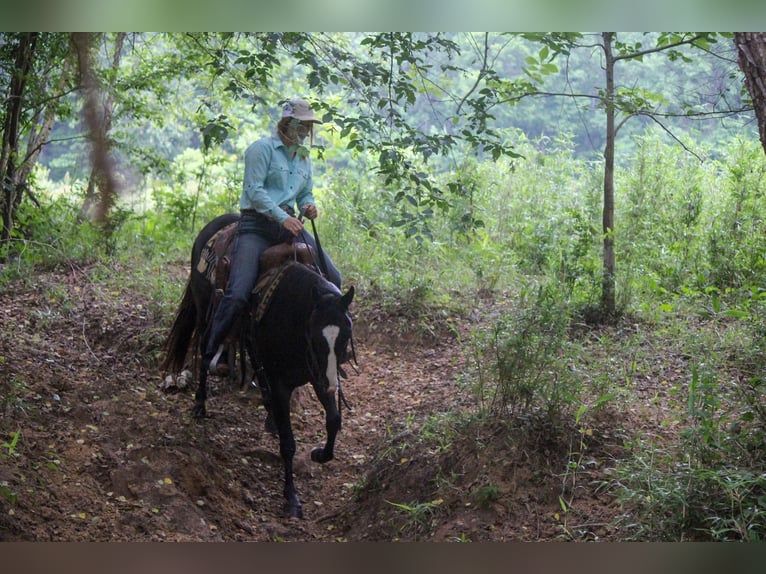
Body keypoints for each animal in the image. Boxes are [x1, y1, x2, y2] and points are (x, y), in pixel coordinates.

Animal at [162, 214, 356, 520]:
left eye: (346, 334)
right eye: (314, 335)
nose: (332, 383)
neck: (292, 315)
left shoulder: (318, 374)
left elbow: (334, 421)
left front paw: (319, 454)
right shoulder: (284, 381)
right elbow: (288, 442)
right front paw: (291, 499)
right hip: (207, 309)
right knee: (205, 349)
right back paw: (200, 404)